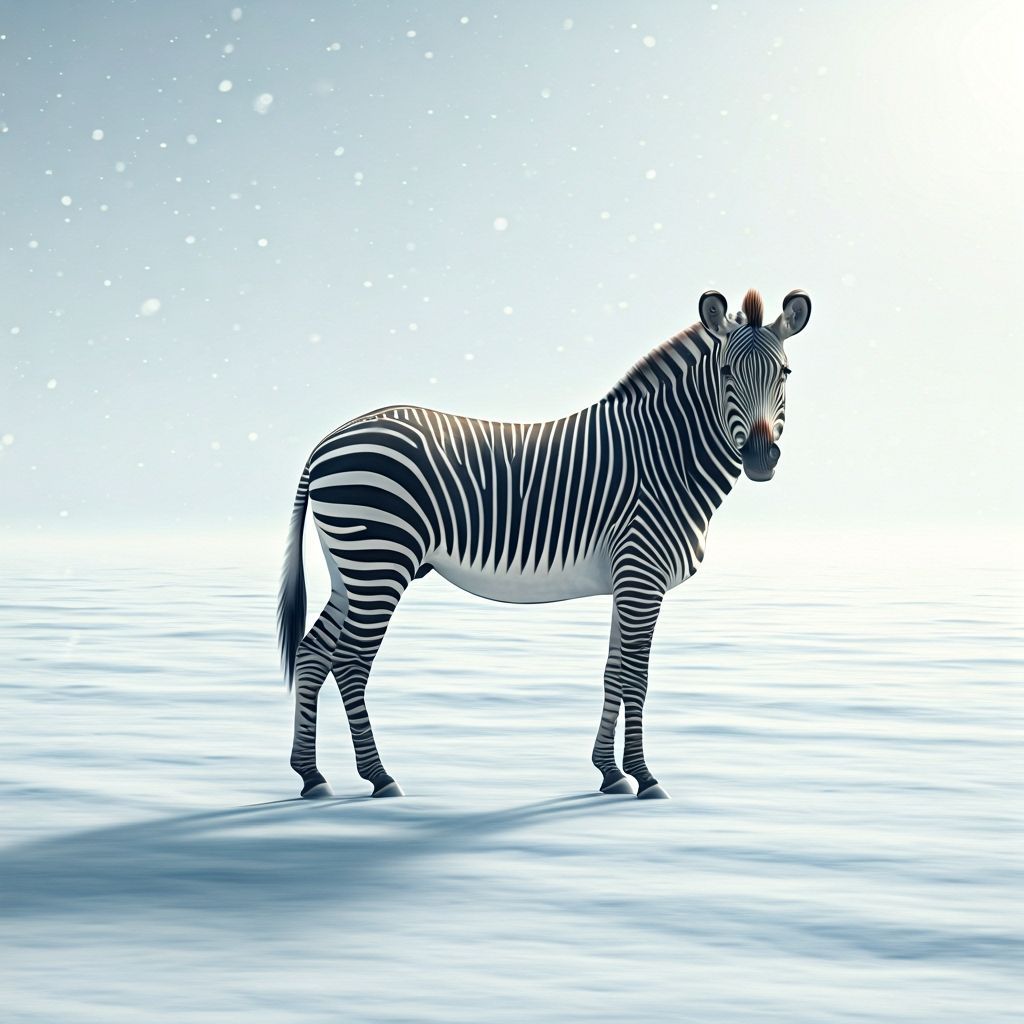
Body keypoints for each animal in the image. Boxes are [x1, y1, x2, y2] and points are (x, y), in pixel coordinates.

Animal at [278, 288, 812, 800]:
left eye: (785, 373)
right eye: (726, 372)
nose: (761, 458)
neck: (666, 455)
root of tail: (329, 439)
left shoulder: (627, 582)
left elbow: (613, 671)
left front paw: (610, 773)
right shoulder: (642, 575)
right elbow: (636, 676)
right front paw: (645, 777)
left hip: (350, 567)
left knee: (312, 652)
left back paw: (311, 776)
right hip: (379, 559)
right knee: (349, 662)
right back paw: (379, 777)